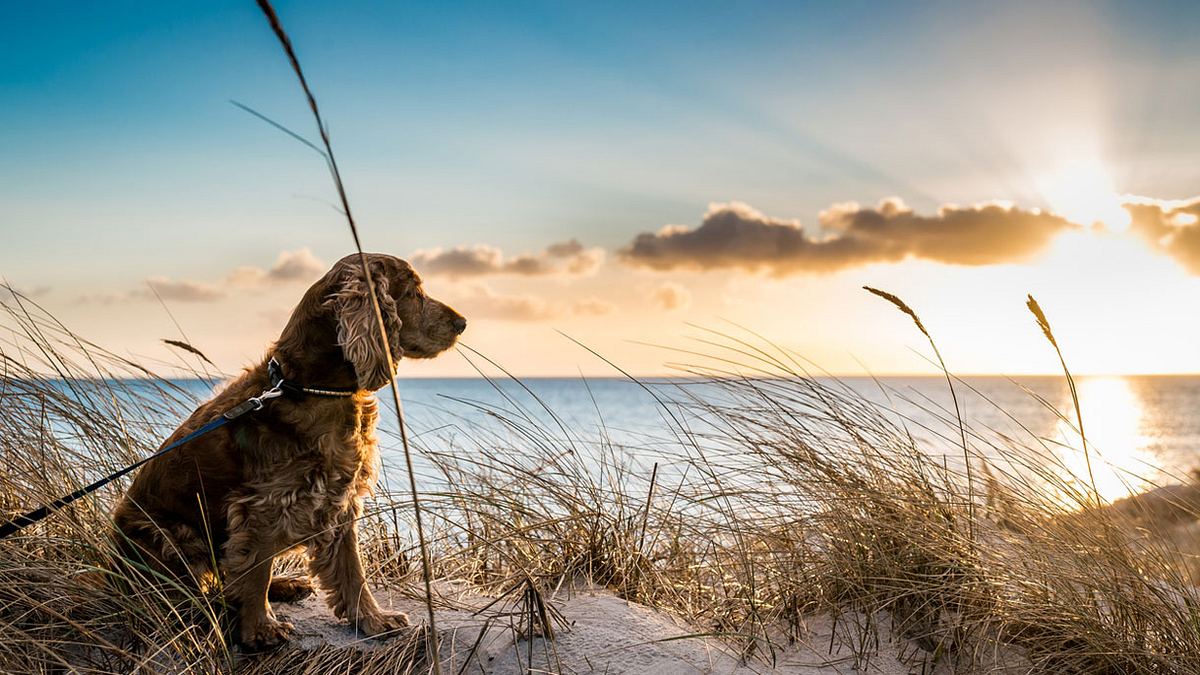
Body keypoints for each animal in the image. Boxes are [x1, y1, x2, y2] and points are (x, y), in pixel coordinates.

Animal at [112, 252, 465, 648]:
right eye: (414, 292)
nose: (462, 323)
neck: (309, 387)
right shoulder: (264, 505)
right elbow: (256, 570)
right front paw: (260, 628)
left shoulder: (340, 498)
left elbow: (352, 571)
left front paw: (373, 619)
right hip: (170, 535)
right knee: (195, 593)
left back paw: (286, 585)